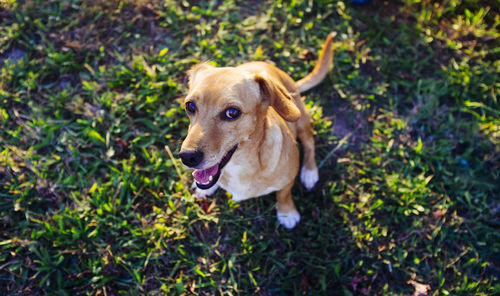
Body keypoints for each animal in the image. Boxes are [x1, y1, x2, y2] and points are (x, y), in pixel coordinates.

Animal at [178, 33, 334, 230]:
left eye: (232, 112)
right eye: (190, 106)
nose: (187, 157)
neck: (240, 165)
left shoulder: (288, 180)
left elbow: (283, 194)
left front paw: (287, 212)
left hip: (301, 119)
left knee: (309, 143)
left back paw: (309, 171)